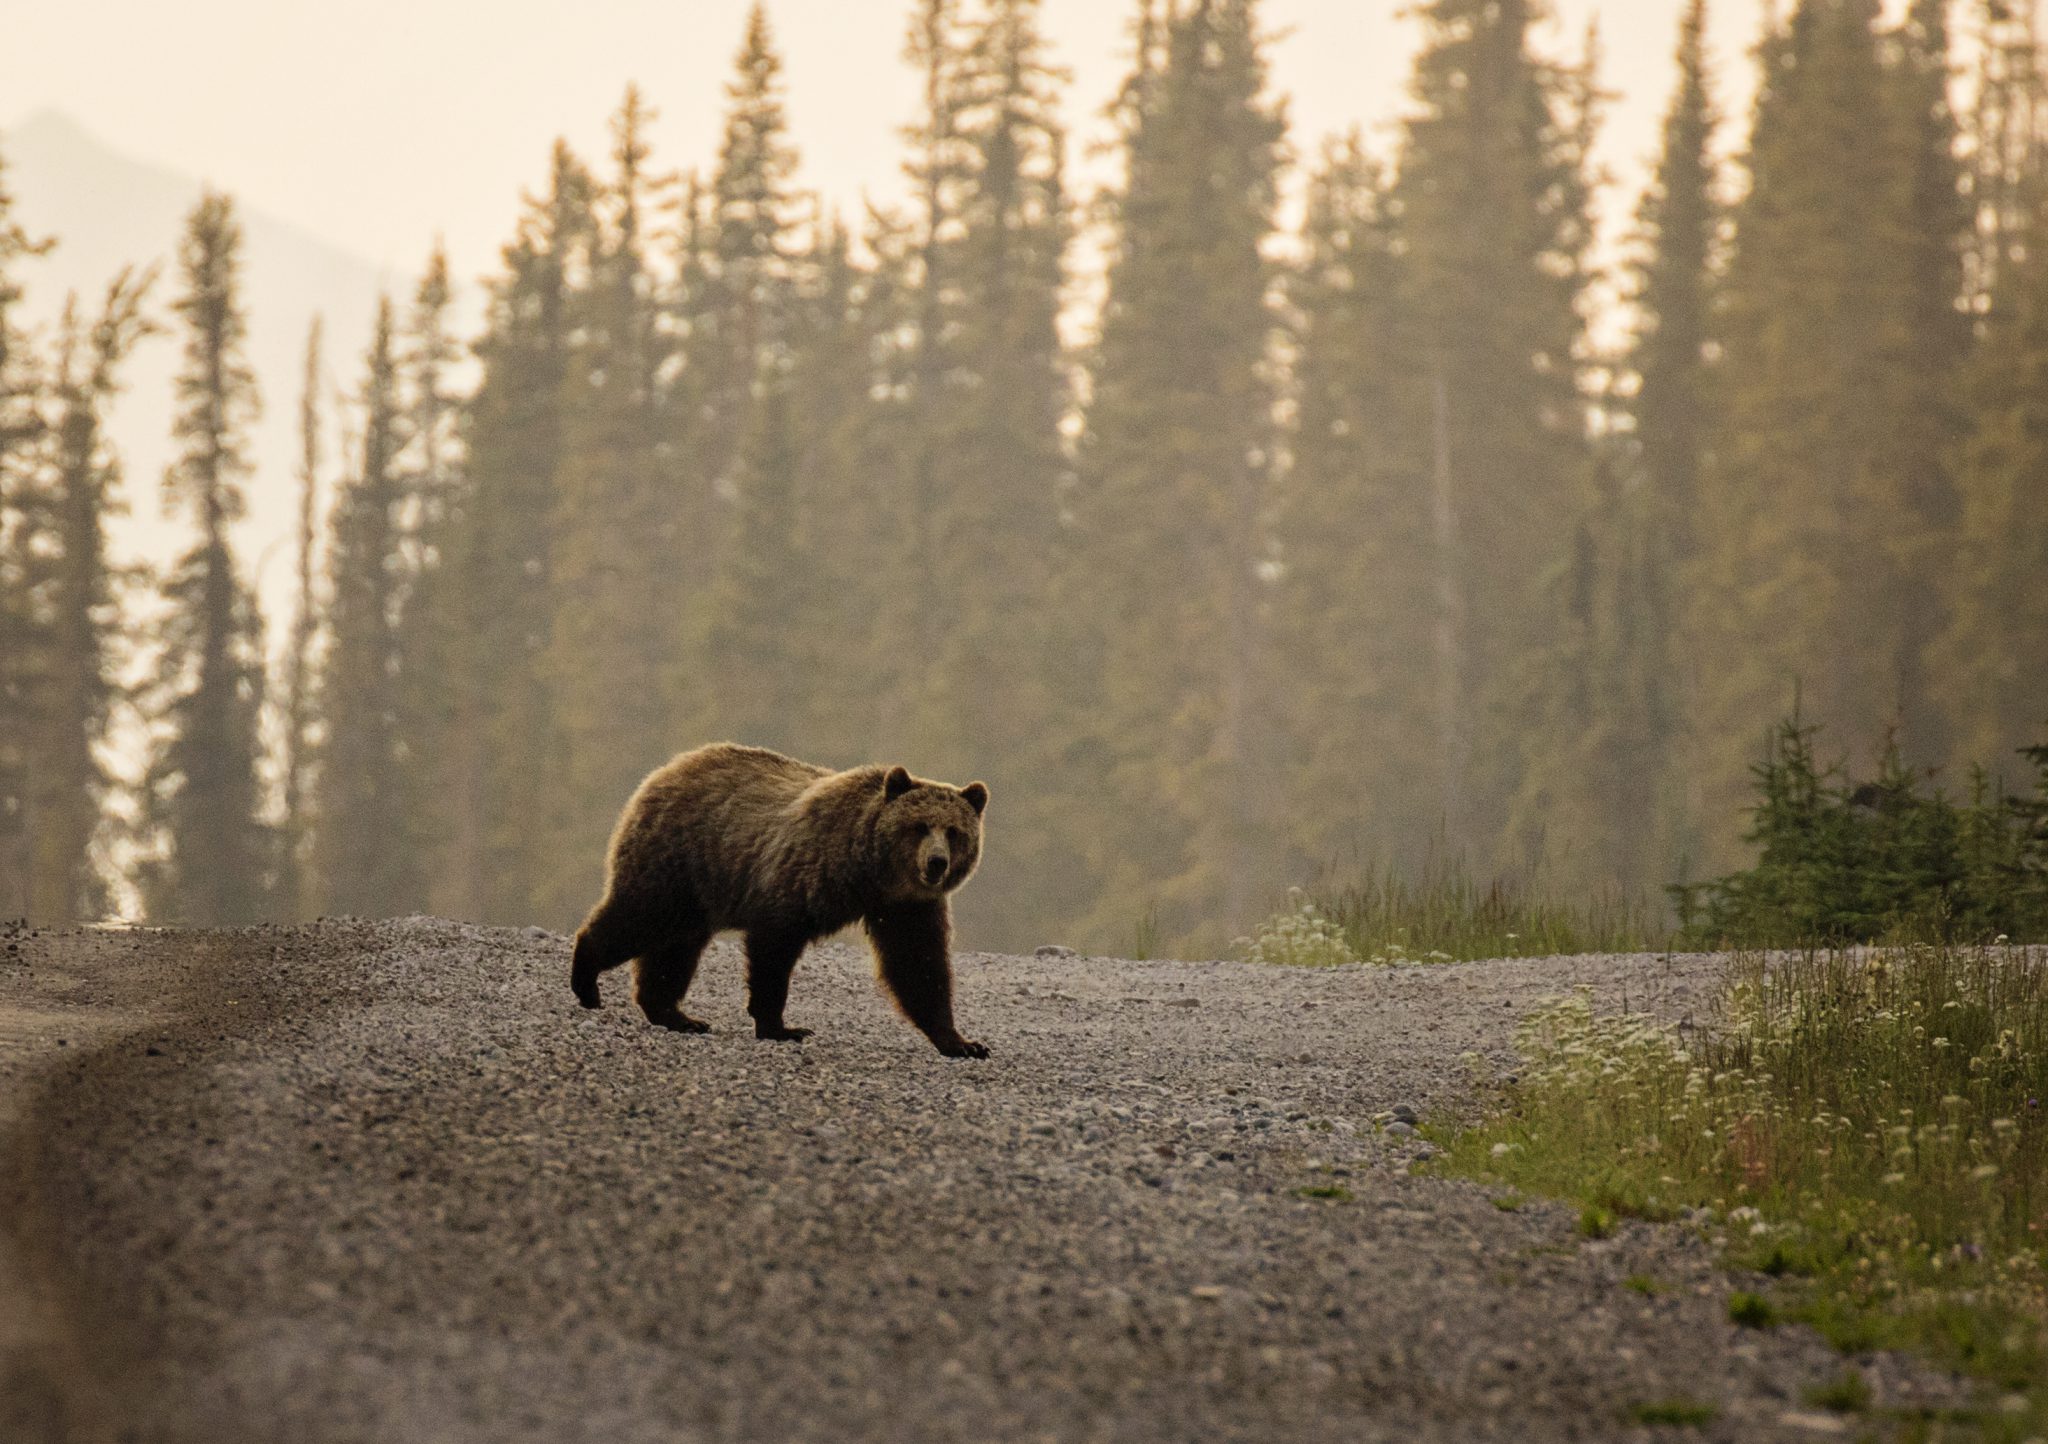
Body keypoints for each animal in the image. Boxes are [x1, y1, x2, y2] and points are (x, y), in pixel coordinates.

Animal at [573, 749, 995, 1056]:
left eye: (954, 831)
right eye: (919, 826)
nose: (936, 862)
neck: (869, 871)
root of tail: (667, 768)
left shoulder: (907, 906)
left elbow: (918, 965)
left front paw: (962, 1042)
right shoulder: (800, 878)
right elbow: (773, 951)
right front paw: (781, 1026)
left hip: (696, 890)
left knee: (675, 948)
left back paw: (676, 1015)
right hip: (678, 860)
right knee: (639, 916)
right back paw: (587, 981)